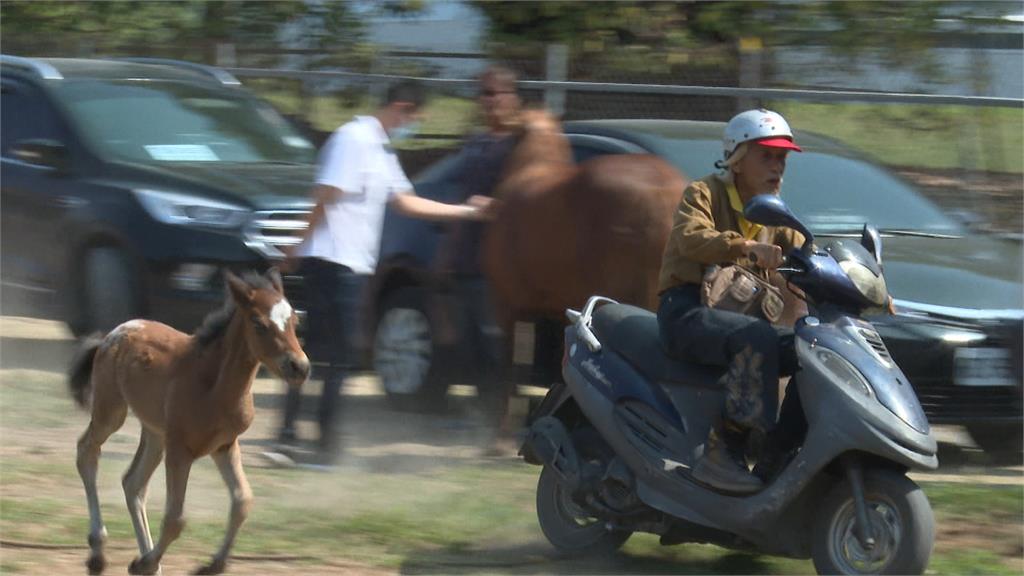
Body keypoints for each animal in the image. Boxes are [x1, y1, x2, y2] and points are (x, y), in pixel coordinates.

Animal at [68, 268, 309, 573]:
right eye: (258, 323)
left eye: (294, 321)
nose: (299, 367)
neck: (215, 385)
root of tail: (111, 334)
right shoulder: (180, 450)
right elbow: (175, 518)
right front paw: (145, 562)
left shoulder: (224, 445)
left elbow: (242, 501)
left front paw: (212, 564)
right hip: (112, 411)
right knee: (87, 451)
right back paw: (99, 551)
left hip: (156, 433)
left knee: (133, 482)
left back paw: (148, 564)